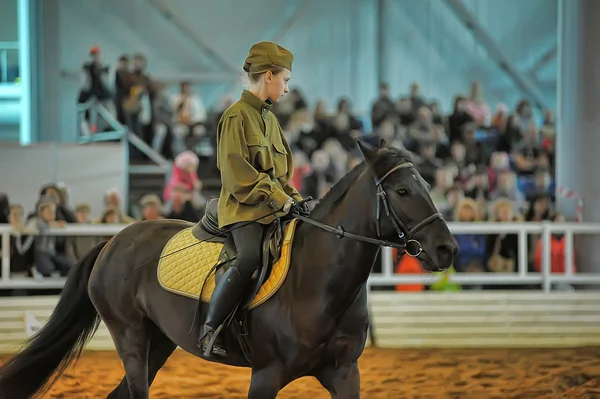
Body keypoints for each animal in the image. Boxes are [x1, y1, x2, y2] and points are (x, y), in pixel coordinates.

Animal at [0, 139, 454, 398]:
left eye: (427, 187)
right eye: (402, 191)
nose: (446, 249)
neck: (318, 283)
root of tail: (113, 242)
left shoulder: (345, 374)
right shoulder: (266, 376)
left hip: (158, 343)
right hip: (129, 337)